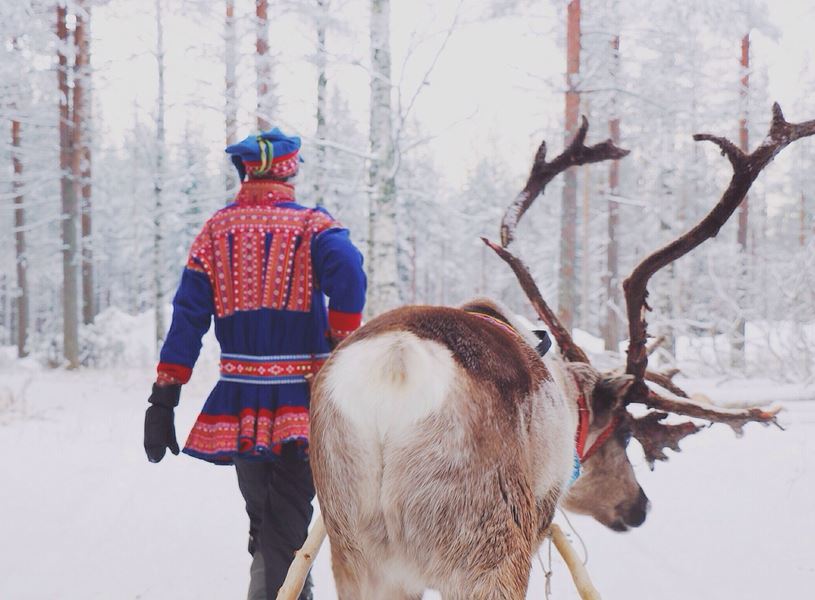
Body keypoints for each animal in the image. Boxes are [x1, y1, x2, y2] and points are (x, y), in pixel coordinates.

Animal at [308, 104, 809, 599]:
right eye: (623, 435)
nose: (641, 507)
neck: (571, 397)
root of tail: (396, 365)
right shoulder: (537, 516)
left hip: (355, 549)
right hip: (486, 540)